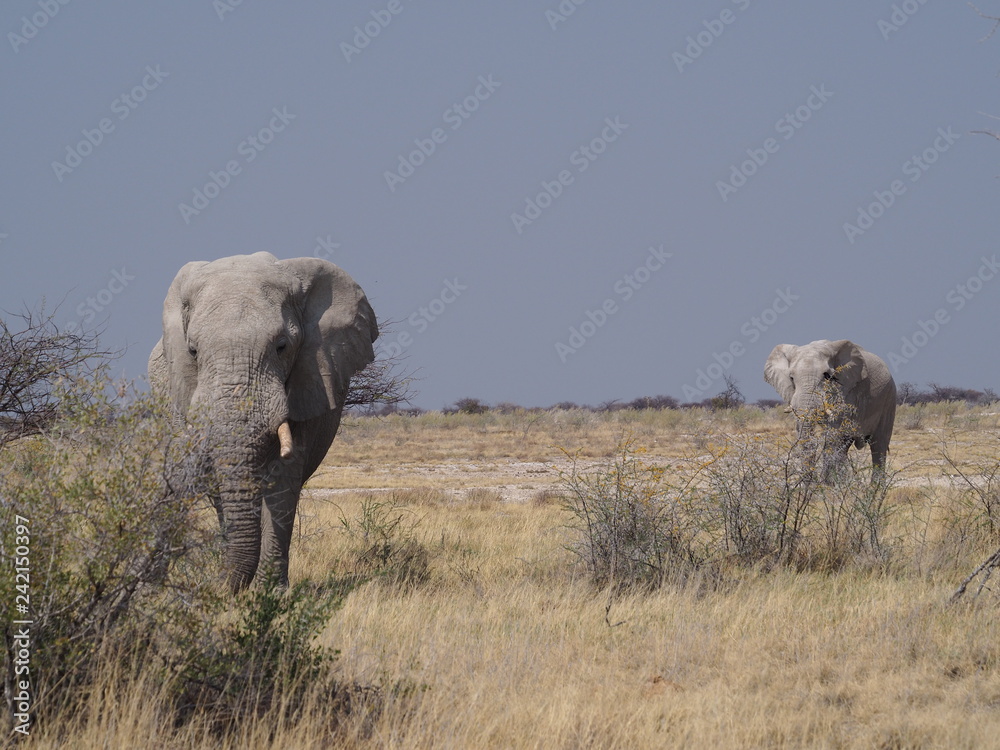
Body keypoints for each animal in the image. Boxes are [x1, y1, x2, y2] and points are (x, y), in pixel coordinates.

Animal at [148, 252, 377, 592]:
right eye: (192, 351)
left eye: (282, 346)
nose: (216, 587)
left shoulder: (309, 380)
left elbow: (283, 479)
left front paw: (271, 592)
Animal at [764, 339, 896, 475]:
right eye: (791, 378)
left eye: (827, 376)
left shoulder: (846, 392)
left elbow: (832, 437)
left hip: (889, 399)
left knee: (879, 445)